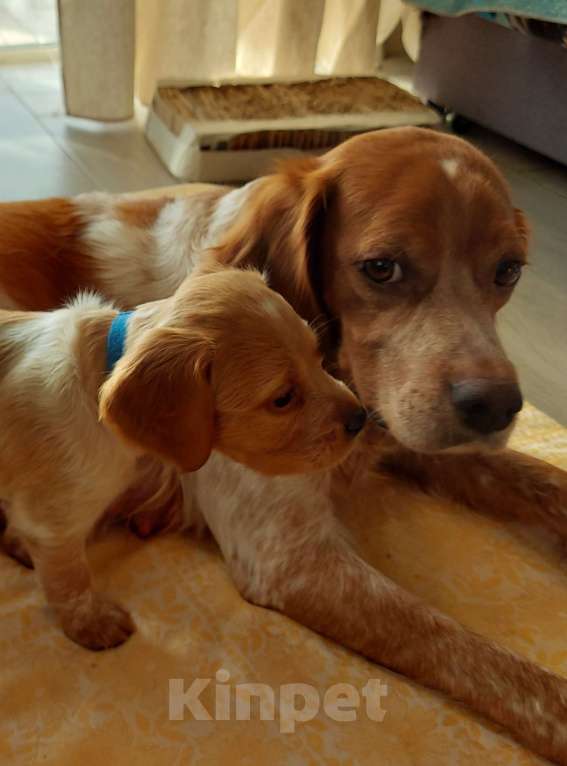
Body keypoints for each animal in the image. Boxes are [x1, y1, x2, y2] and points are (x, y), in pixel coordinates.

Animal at [0, 264, 364, 648]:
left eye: (318, 357)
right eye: (282, 399)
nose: (362, 419)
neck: (102, 366)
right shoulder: (52, 521)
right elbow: (70, 579)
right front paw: (92, 622)